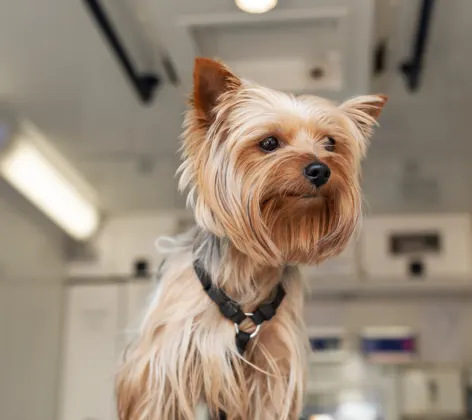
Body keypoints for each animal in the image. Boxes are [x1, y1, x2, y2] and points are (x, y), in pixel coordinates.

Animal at [116, 56, 386, 420]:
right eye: (269, 143)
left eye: (330, 143)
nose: (321, 169)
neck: (248, 269)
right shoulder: (162, 367)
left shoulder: (273, 368)